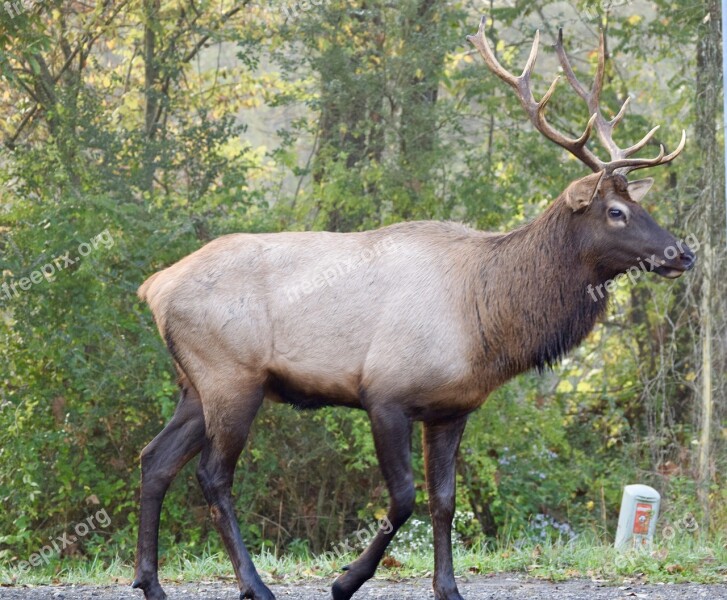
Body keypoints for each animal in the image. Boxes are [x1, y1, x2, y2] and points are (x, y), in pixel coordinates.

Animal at [134, 16, 696, 600]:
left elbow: (444, 501)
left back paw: (150, 582)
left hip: (195, 384)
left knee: (154, 460)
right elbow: (404, 498)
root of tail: (155, 286)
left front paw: (447, 587)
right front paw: (345, 581)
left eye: (638, 204)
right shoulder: (385, 392)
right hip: (231, 376)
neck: (488, 325)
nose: (683, 253)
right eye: (615, 212)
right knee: (212, 476)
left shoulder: (452, 409)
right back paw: (254, 585)